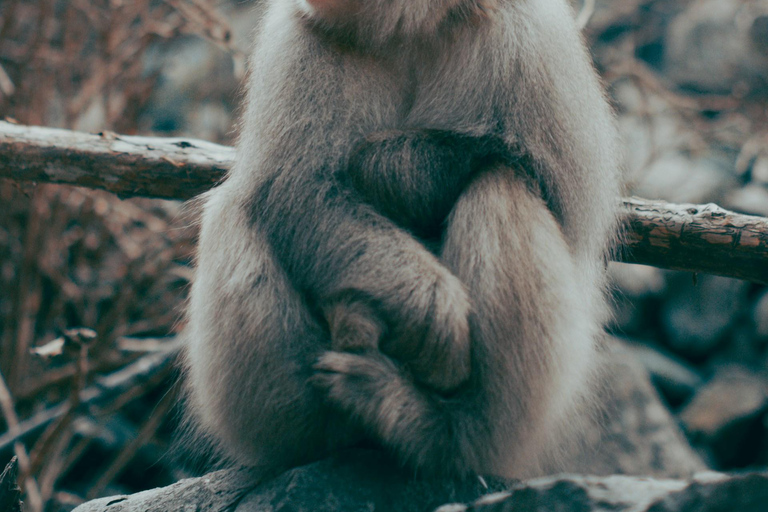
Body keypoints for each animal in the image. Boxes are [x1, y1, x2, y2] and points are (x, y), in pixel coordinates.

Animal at [183, 0, 621, 480]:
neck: (413, 28)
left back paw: (441, 432)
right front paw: (437, 318)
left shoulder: (529, 36)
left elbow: (557, 193)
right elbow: (298, 193)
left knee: (500, 184)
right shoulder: (300, 37)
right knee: (233, 211)